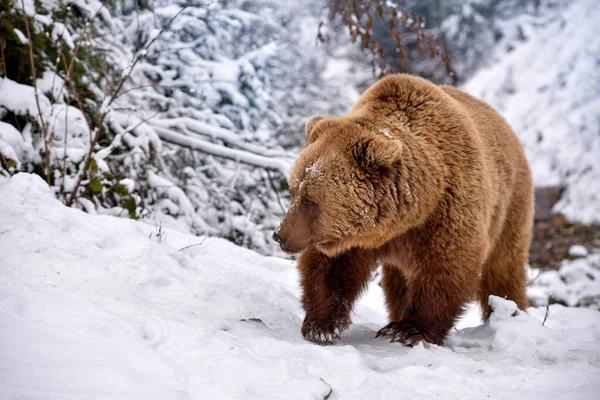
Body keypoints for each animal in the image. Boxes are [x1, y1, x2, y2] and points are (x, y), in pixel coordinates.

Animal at [274, 74, 532, 346]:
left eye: (310, 199)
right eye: (293, 190)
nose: (279, 235)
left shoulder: (445, 214)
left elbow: (446, 267)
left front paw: (409, 330)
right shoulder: (352, 236)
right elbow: (330, 267)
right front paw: (321, 325)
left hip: (510, 207)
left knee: (503, 270)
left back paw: (510, 312)